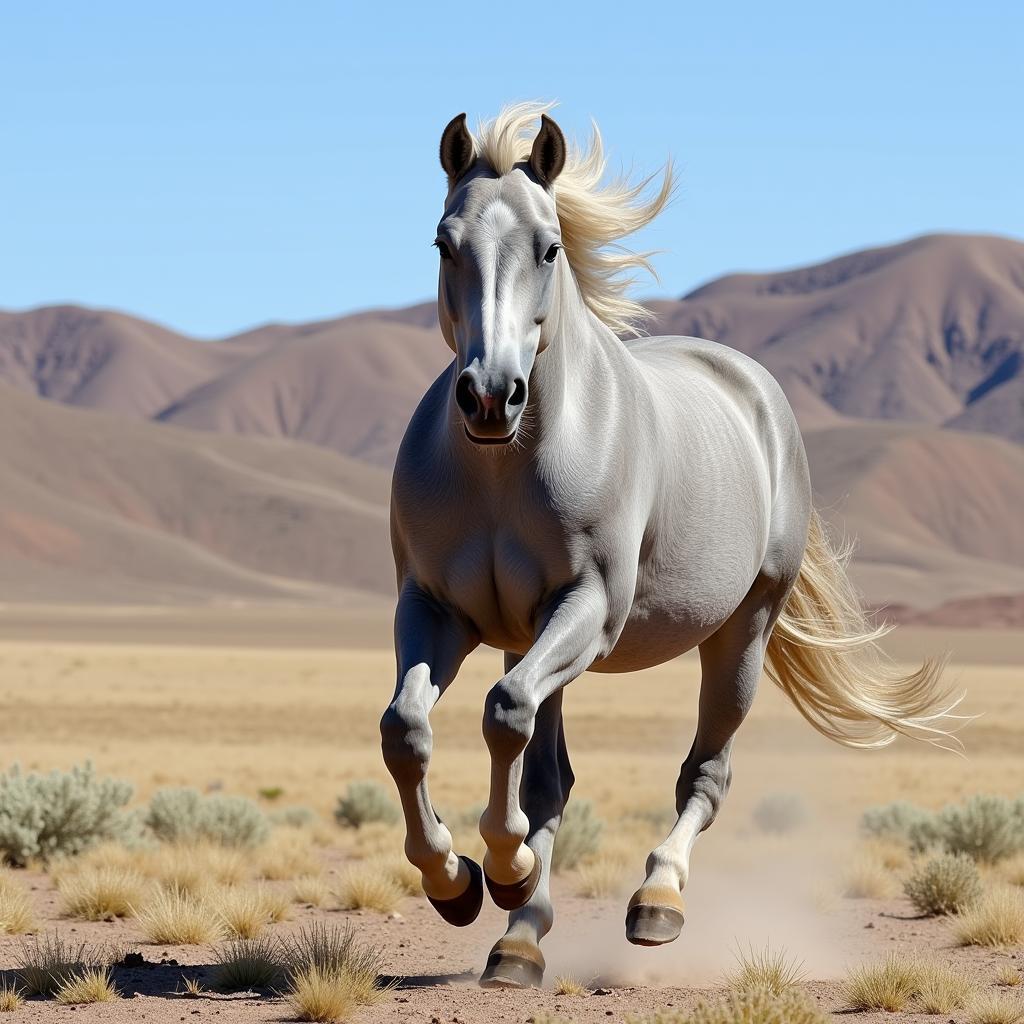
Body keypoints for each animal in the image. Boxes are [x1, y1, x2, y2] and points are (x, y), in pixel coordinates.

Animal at [380, 101, 954, 983]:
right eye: (444, 243)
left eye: (549, 247)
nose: (489, 397)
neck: (503, 467)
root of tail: (754, 389)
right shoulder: (437, 612)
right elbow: (409, 731)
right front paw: (457, 880)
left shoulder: (589, 608)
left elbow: (504, 714)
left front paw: (503, 867)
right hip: (526, 635)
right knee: (547, 772)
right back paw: (520, 938)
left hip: (740, 631)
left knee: (704, 774)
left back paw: (656, 899)